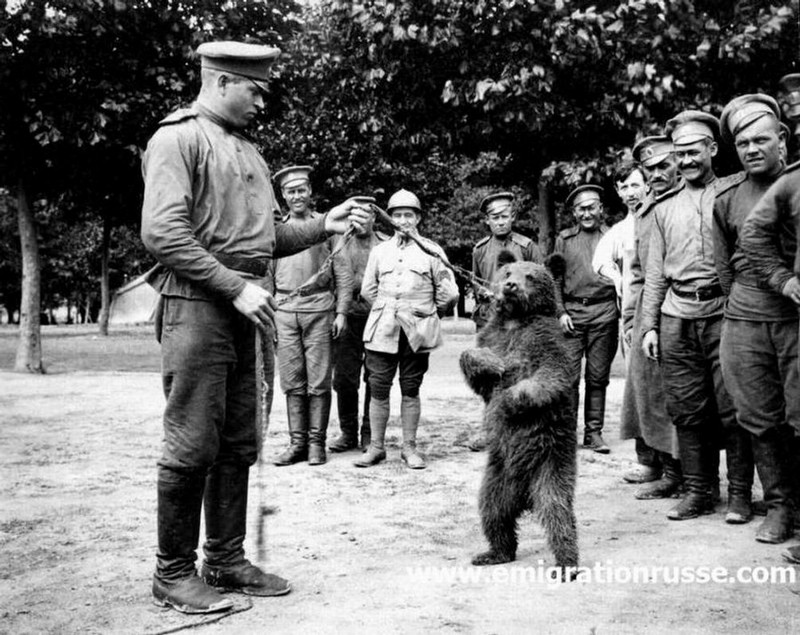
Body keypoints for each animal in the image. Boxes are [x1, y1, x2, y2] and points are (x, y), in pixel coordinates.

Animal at [460, 253, 580, 572]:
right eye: (507, 272)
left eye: (531, 276)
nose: (511, 285)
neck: (516, 319)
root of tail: (525, 497)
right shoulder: (492, 336)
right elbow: (473, 363)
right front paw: (489, 363)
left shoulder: (545, 341)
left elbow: (547, 377)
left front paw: (508, 401)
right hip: (496, 475)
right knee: (492, 513)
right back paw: (493, 553)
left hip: (551, 465)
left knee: (557, 512)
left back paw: (567, 563)